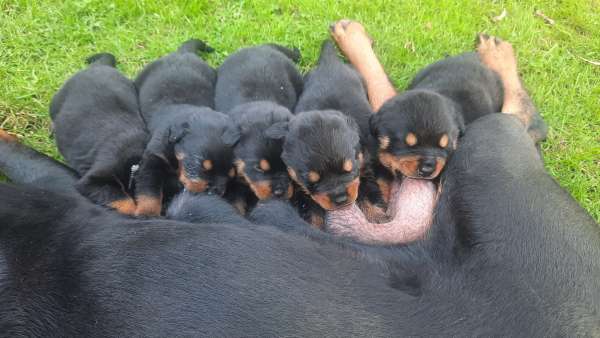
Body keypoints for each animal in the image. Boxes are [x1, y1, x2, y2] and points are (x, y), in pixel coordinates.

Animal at [134, 39, 234, 217]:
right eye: (198, 165)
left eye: (231, 174)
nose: (215, 191)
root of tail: (182, 52)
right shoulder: (153, 159)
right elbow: (149, 189)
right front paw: (148, 213)